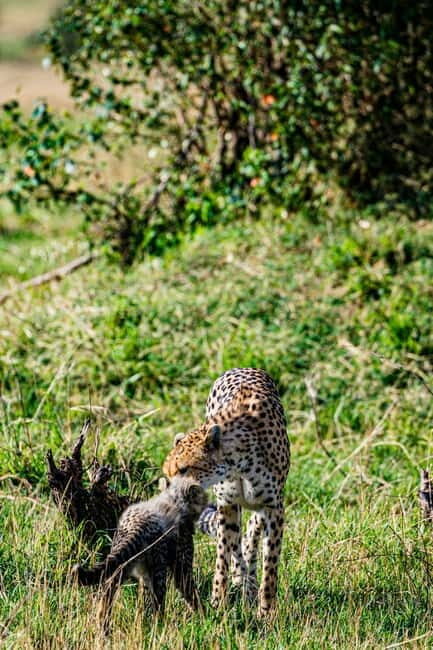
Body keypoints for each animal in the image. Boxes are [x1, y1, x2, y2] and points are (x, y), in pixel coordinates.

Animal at [73, 476, 207, 634]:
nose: (207, 502)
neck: (174, 499)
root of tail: (136, 525)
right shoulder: (180, 564)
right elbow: (189, 590)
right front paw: (206, 617)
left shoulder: (143, 574)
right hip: (158, 569)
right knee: (158, 602)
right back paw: (158, 628)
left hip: (122, 562)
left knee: (109, 589)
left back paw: (103, 627)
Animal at [163, 367, 290, 618]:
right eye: (168, 473)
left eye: (184, 469)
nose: (171, 496)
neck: (238, 462)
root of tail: (243, 367)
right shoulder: (227, 504)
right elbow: (223, 556)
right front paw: (218, 603)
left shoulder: (273, 507)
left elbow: (270, 566)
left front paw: (266, 612)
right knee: (237, 545)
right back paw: (244, 583)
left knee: (251, 532)